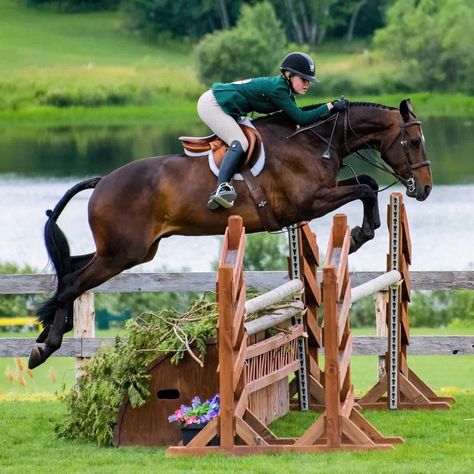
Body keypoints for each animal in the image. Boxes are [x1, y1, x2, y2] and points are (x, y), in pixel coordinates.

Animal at [27, 98, 432, 368]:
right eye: (413, 142)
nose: (425, 189)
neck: (315, 141)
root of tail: (102, 182)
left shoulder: (320, 196)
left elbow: (366, 183)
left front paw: (364, 231)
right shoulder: (309, 203)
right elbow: (365, 187)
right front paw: (360, 234)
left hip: (132, 251)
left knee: (71, 268)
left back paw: (48, 334)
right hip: (121, 253)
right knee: (71, 282)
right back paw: (45, 346)